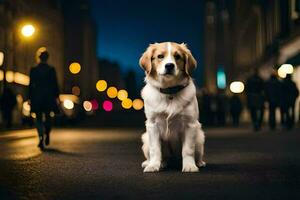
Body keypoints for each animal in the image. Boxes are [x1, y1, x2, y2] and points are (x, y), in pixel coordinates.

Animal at [139, 41, 205, 172]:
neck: (169, 91)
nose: (169, 66)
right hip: (145, 138)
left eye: (177, 56)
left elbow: (188, 149)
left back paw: (199, 162)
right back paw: (153, 163)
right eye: (160, 56)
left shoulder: (190, 124)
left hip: (200, 137)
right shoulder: (152, 125)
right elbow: (155, 149)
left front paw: (189, 166)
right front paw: (153, 165)